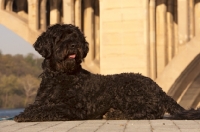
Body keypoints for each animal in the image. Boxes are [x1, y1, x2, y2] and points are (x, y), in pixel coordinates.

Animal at [14, 24, 200, 121]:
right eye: (60, 37)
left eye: (76, 37)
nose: (74, 45)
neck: (60, 77)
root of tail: (158, 87)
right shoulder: (40, 101)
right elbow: (36, 106)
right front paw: (24, 113)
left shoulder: (74, 107)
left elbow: (51, 108)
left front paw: (27, 115)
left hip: (128, 90)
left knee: (152, 111)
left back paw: (114, 113)